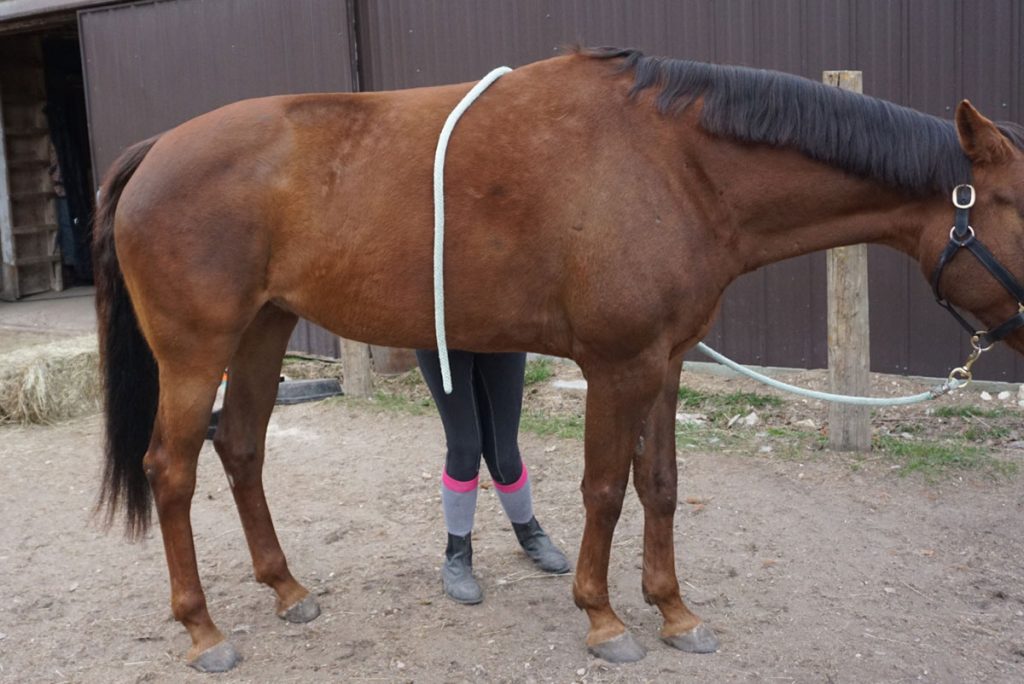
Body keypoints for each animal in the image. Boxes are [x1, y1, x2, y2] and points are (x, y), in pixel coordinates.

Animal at [93, 46, 1024, 672]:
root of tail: (157, 149)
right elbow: (605, 491)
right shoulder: (616, 366)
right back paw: (204, 630)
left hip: (264, 332)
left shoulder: (664, 362)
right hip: (196, 352)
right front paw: (605, 619)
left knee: (243, 448)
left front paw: (675, 612)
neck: (678, 166)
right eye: (1018, 201)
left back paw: (287, 591)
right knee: (172, 469)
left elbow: (661, 486)